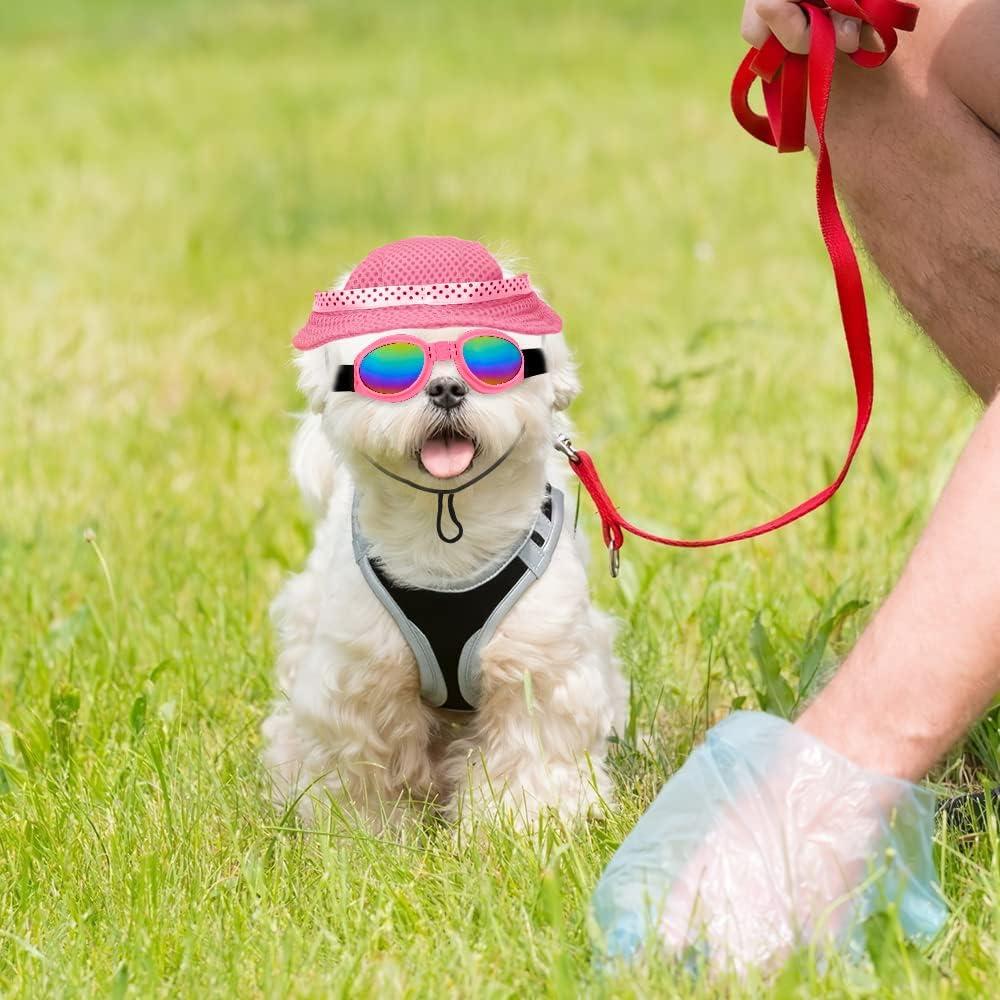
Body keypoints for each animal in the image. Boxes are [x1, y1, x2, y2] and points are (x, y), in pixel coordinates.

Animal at [262, 238, 628, 832]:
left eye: (492, 358)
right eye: (391, 365)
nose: (447, 386)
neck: (448, 539)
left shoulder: (537, 666)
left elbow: (528, 753)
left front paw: (520, 826)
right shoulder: (362, 679)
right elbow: (364, 765)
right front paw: (366, 833)